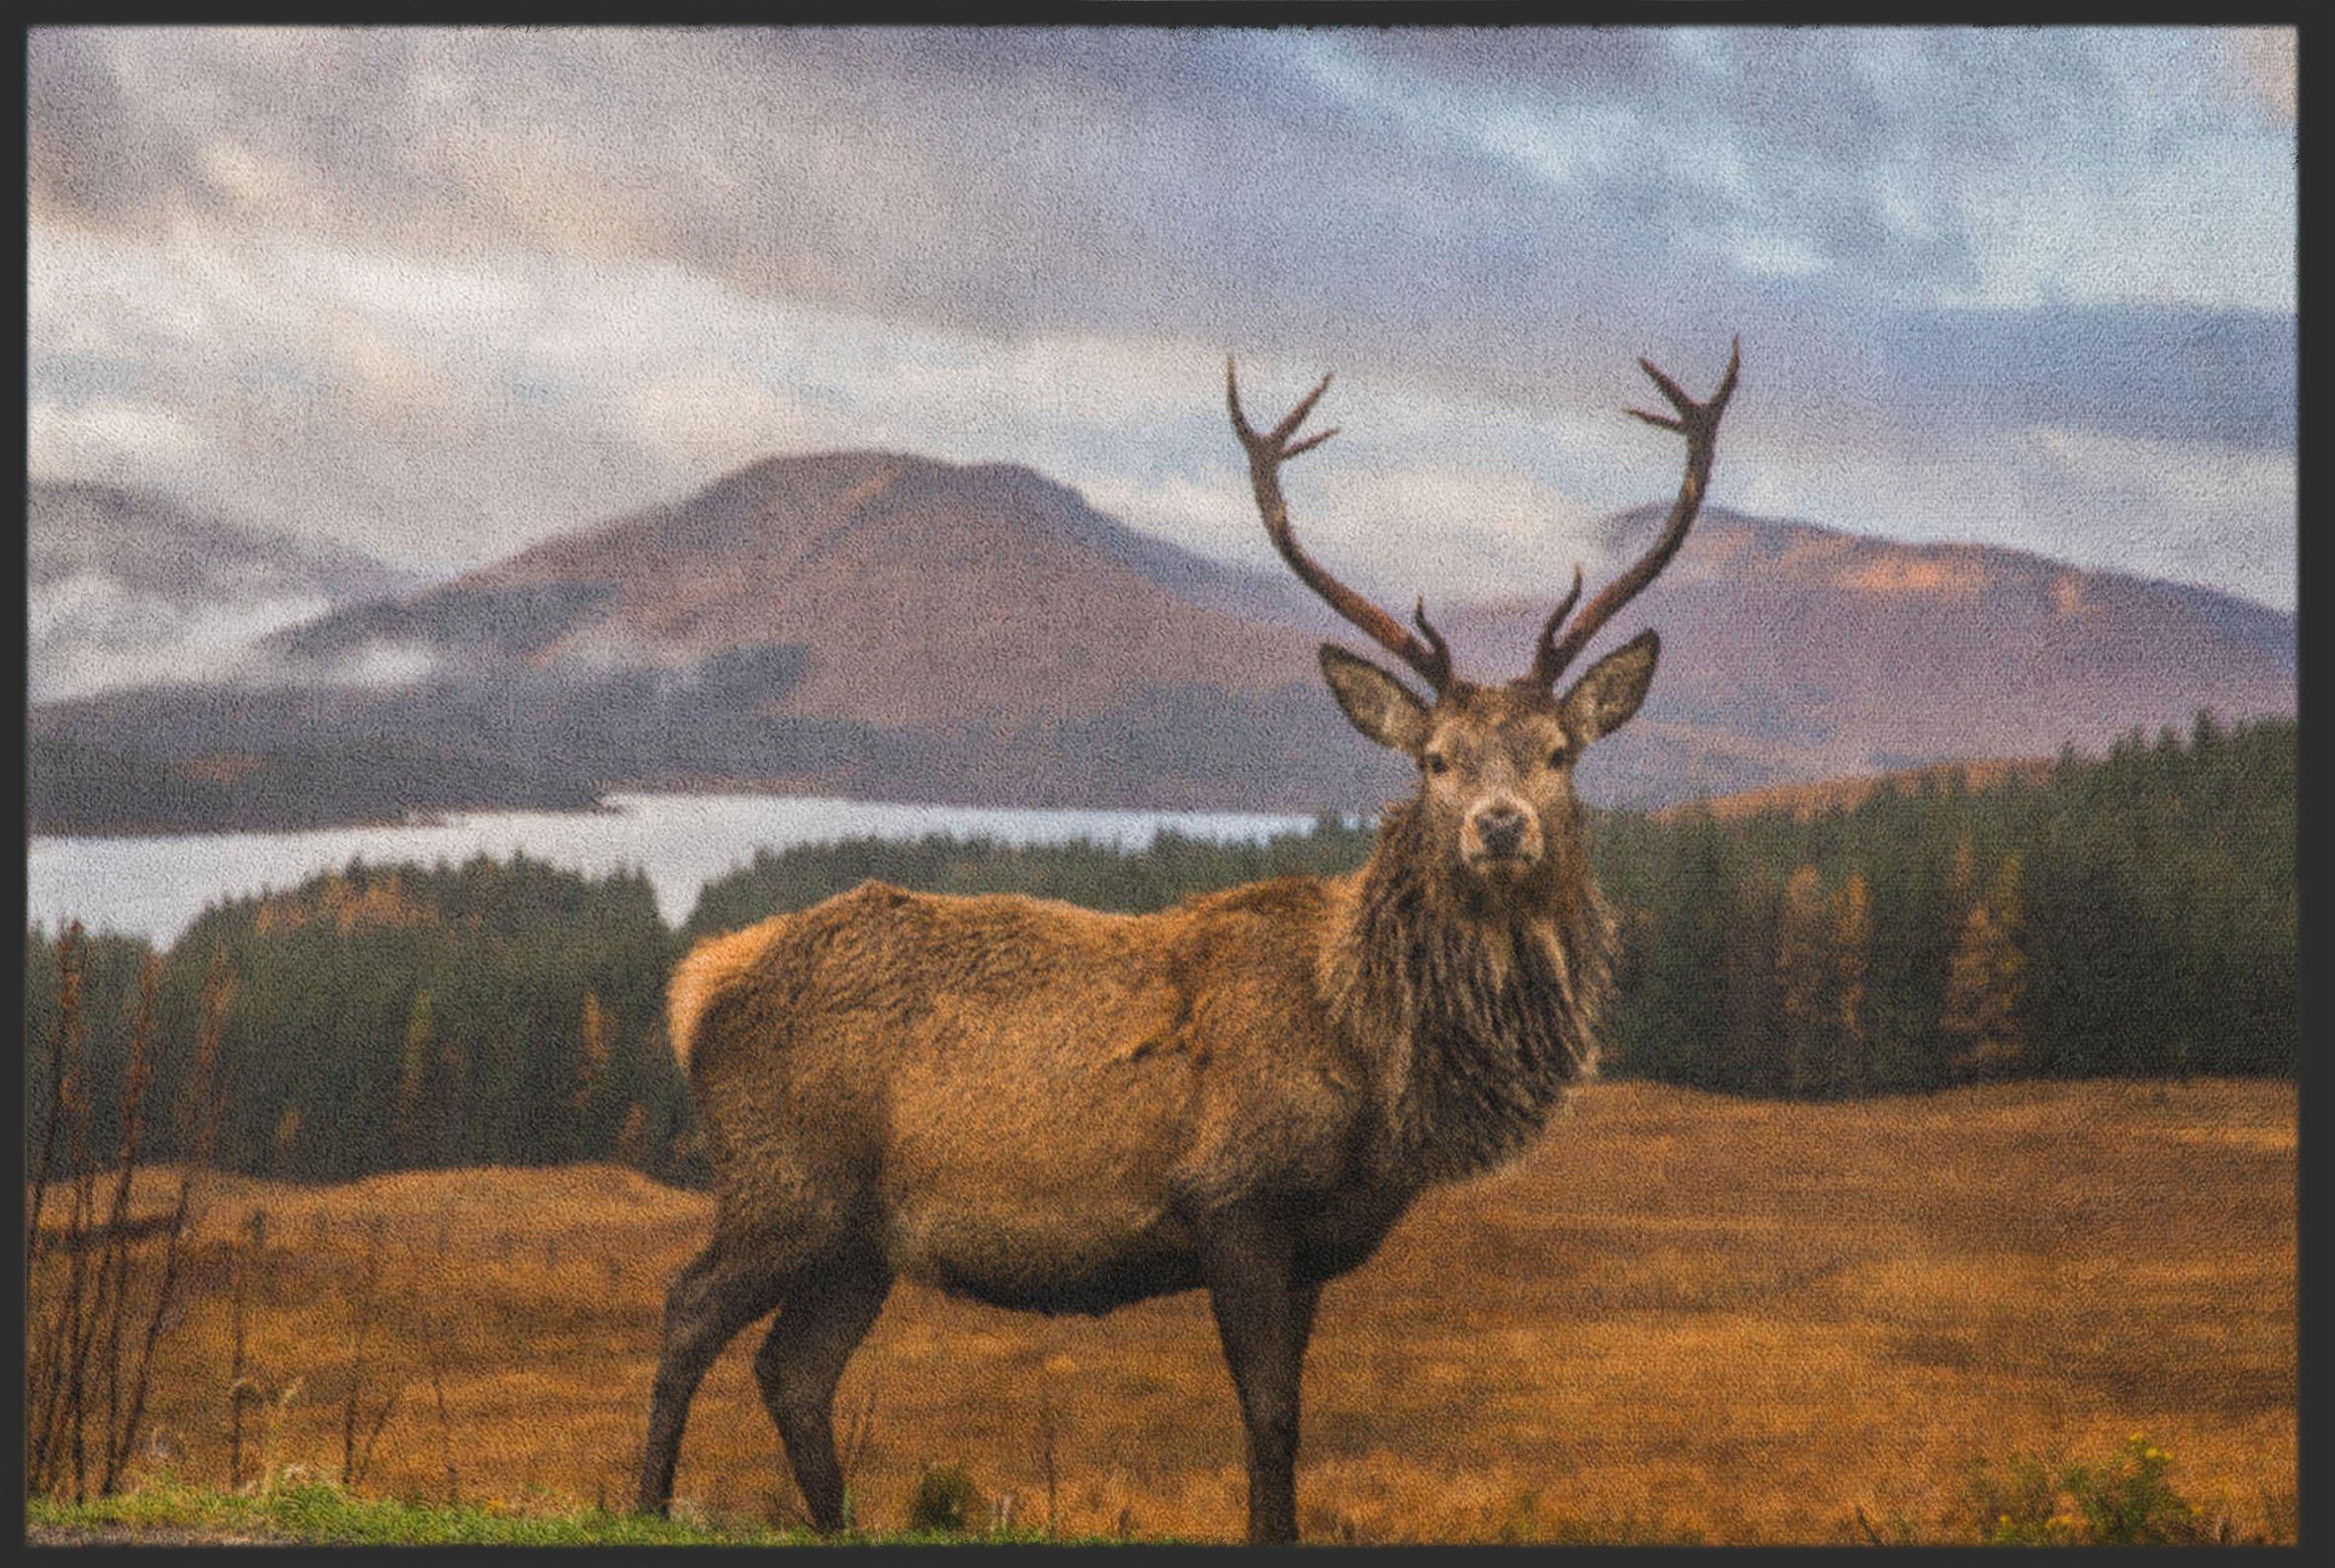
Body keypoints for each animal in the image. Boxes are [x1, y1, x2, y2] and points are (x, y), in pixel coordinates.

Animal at [636, 340, 1739, 1544]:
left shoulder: (1313, 1242)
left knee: (794, 1369)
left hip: (862, 1235)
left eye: (1558, 752)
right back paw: (647, 1502)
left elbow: (1289, 1417)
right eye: (1435, 758)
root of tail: (700, 983)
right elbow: (1266, 1414)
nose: (1500, 826)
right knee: (688, 1308)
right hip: (783, 1178)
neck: (1371, 1062)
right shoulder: (1232, 1195)